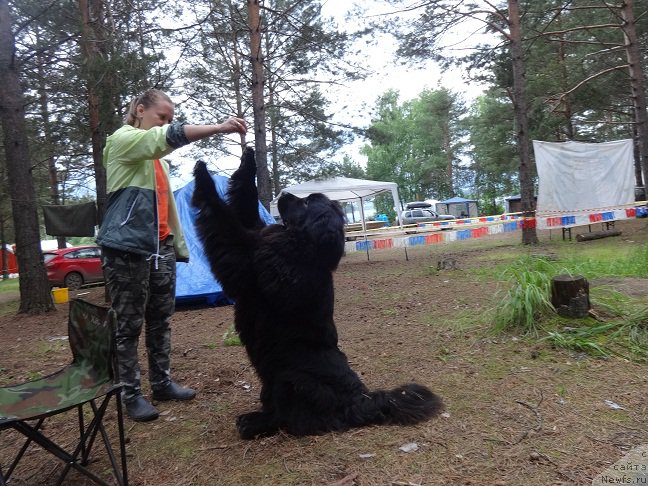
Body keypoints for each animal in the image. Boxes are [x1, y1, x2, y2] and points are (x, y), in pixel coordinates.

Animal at [190, 146, 442, 438]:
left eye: (308, 203)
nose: (284, 195)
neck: (304, 244)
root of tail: (362, 399)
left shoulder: (246, 258)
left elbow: (223, 220)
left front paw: (203, 177)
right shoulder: (257, 232)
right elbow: (244, 202)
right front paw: (248, 158)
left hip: (288, 377)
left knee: (289, 418)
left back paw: (254, 424)